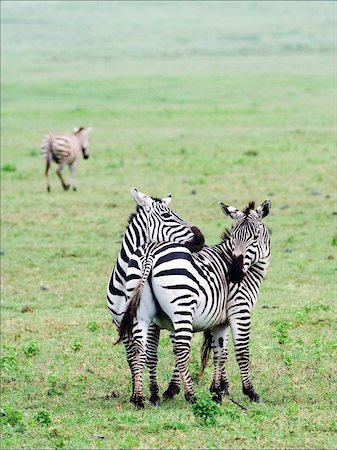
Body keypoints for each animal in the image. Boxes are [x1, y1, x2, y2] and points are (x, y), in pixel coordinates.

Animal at [106, 188, 203, 406]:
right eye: (167, 216)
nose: (201, 238)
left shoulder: (151, 323)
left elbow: (150, 356)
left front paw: (153, 393)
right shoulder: (121, 323)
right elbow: (131, 357)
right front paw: (135, 393)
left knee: (178, 348)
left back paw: (173, 388)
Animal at [119, 199, 270, 406]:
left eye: (255, 237)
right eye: (234, 237)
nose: (234, 274)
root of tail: (151, 252)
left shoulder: (219, 322)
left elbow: (220, 352)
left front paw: (217, 391)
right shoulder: (240, 311)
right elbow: (241, 351)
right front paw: (250, 391)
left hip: (141, 314)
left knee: (138, 349)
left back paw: (139, 398)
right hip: (182, 309)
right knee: (181, 350)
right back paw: (191, 396)